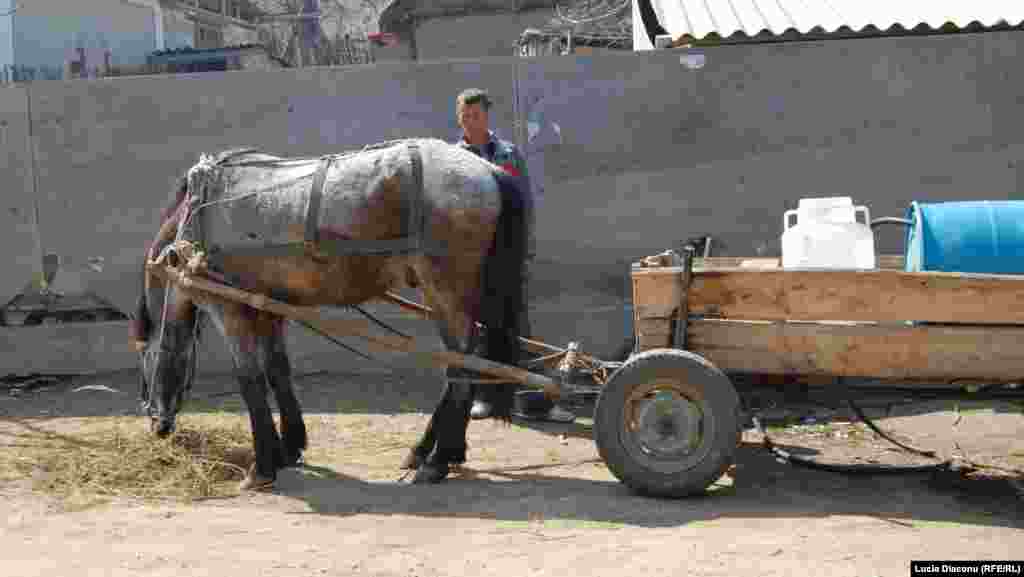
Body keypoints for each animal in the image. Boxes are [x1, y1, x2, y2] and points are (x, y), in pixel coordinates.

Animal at [132, 137, 532, 489]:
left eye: (146, 356)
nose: (156, 423)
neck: (202, 212)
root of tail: (487, 170)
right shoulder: (268, 309)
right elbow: (277, 370)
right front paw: (289, 447)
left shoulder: (231, 309)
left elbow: (250, 381)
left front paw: (262, 467)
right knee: (465, 364)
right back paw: (432, 451)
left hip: (446, 293)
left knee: (461, 369)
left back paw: (437, 460)